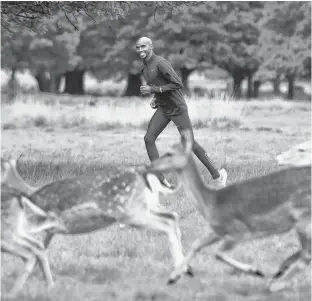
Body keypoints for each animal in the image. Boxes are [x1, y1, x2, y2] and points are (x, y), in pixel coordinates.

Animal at [1, 156, 194, 278]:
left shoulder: (40, 223)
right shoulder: (51, 230)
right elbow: (40, 248)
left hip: (132, 212)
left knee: (167, 221)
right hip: (145, 208)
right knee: (173, 216)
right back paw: (184, 268)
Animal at [148, 129, 310, 290]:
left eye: (169, 153)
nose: (150, 166)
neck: (211, 202)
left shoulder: (239, 231)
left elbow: (217, 253)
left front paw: (256, 271)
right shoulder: (217, 230)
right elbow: (196, 244)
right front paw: (174, 277)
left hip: (303, 220)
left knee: (307, 255)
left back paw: (276, 284)